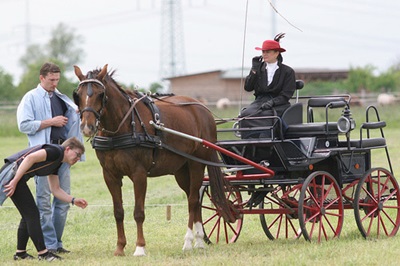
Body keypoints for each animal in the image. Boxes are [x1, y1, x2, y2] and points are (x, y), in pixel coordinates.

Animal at [73, 64, 234, 256]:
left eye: (100, 94)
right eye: (78, 94)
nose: (87, 127)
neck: (123, 126)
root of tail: (203, 108)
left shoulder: (139, 174)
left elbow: (138, 212)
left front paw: (140, 248)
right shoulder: (110, 175)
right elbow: (118, 212)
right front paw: (120, 248)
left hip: (197, 163)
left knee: (193, 200)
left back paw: (190, 242)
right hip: (181, 170)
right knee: (193, 199)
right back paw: (199, 240)